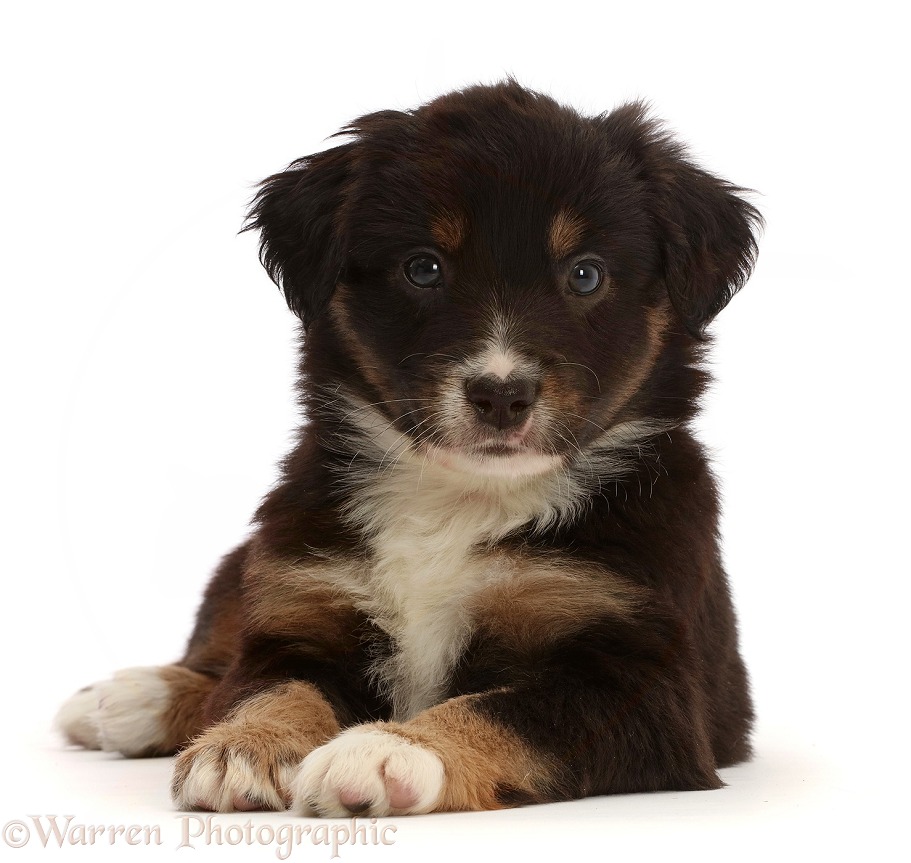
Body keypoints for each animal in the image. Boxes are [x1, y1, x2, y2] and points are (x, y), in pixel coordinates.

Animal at [57, 81, 764, 816]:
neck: (460, 498)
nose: (501, 395)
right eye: (423, 268)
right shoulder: (301, 602)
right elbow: (271, 685)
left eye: (585, 275)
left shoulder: (639, 677)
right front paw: (241, 747)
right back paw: (130, 696)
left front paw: (387, 750)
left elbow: (501, 709)